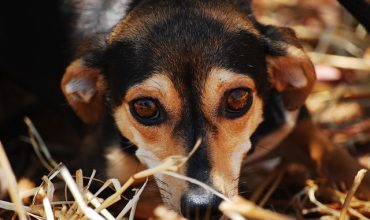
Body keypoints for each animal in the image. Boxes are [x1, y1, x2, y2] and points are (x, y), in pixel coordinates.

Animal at [59, 0, 368, 217]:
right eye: (144, 107)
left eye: (238, 98)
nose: (202, 206)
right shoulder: (101, 182)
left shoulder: (292, 122)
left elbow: (342, 161)